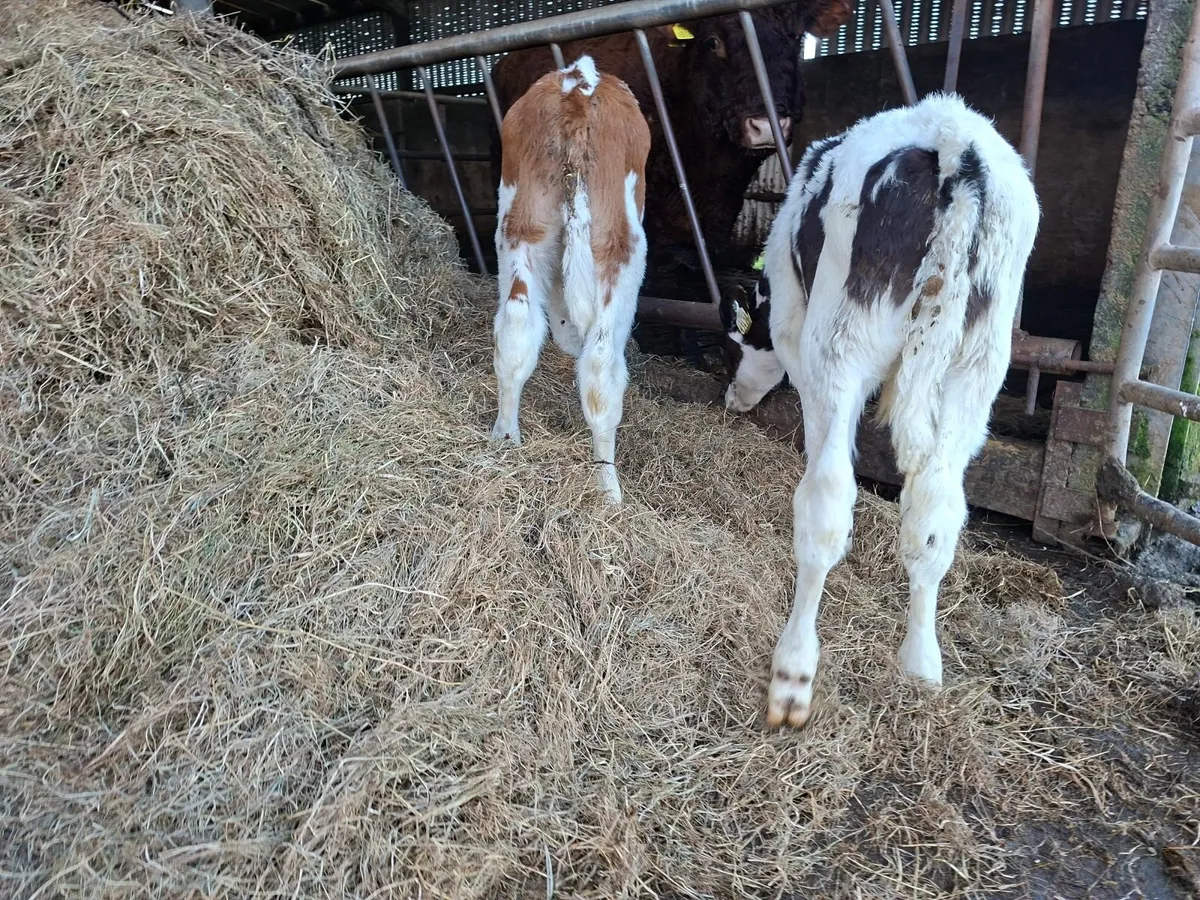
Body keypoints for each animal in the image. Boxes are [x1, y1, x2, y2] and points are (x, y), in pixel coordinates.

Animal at [490, 56, 652, 505]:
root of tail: (577, 83)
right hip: (621, 246)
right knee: (600, 366)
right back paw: (609, 489)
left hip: (520, 226)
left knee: (516, 329)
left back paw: (504, 439)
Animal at [719, 94, 1039, 728]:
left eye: (739, 344)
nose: (731, 401)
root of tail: (955, 140)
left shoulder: (796, 333)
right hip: (978, 367)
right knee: (935, 517)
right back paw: (921, 666)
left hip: (840, 342)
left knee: (827, 506)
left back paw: (793, 674)